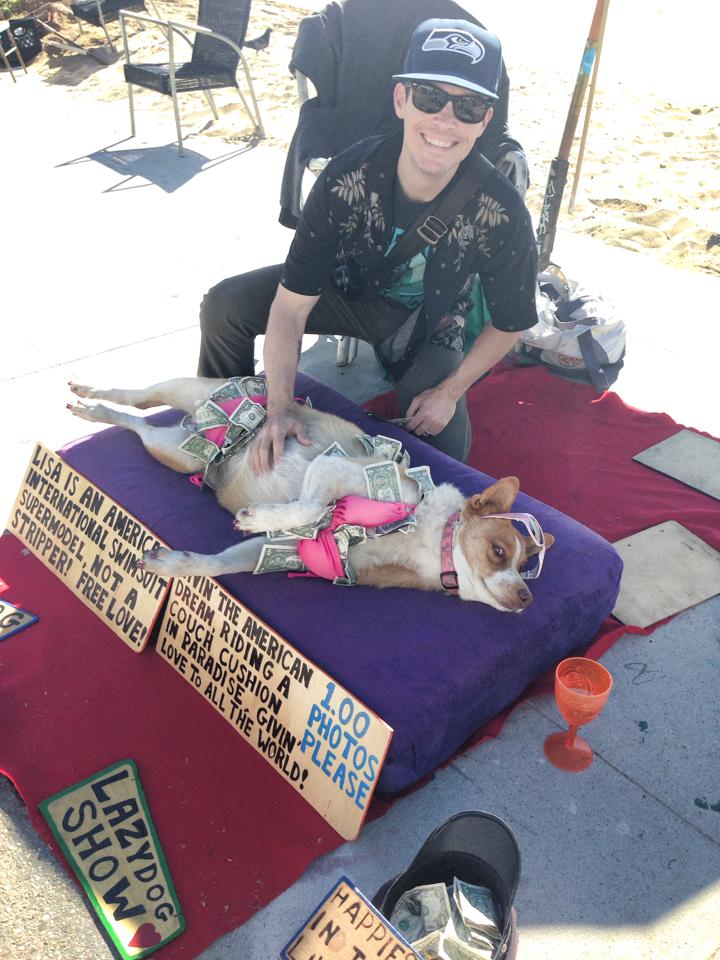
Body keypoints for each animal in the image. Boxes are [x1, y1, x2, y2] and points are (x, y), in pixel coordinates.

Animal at [67, 377, 554, 612]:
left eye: (527, 568)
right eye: (498, 551)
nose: (527, 599)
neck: (421, 541)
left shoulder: (283, 551)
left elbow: (218, 564)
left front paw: (173, 564)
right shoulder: (335, 469)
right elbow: (309, 505)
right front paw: (258, 515)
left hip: (174, 452)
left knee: (138, 422)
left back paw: (97, 412)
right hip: (188, 392)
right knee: (140, 395)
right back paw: (92, 395)